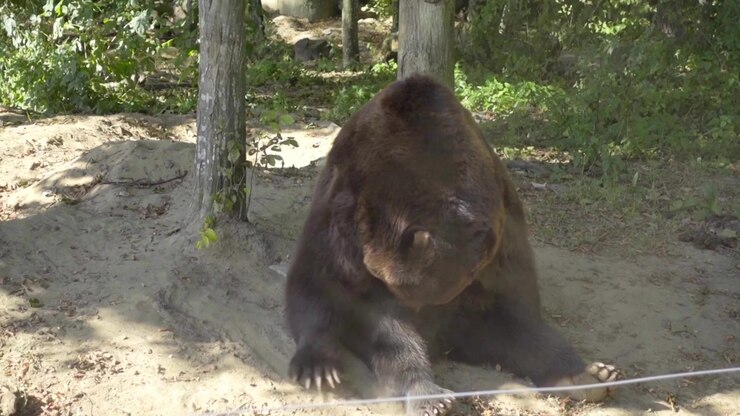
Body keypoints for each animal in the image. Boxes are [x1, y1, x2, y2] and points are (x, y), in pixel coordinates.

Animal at [285, 75, 619, 415]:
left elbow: (518, 306)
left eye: (427, 293)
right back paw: (428, 394)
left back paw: (590, 376)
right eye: (397, 287)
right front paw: (319, 366)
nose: (424, 324)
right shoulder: (343, 211)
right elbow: (322, 282)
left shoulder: (504, 227)